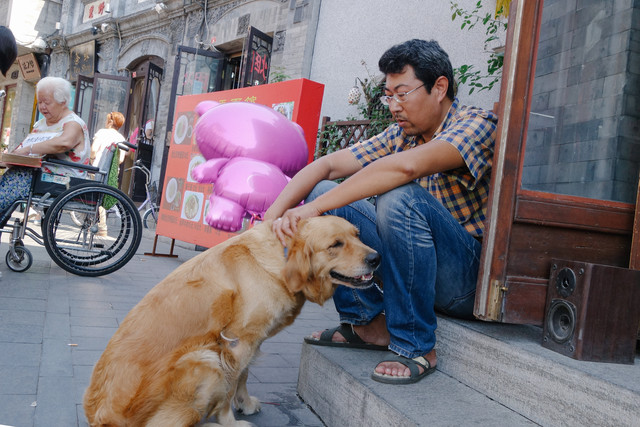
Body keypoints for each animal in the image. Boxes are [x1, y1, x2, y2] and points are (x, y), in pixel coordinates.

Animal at [82, 217, 378, 427]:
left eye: (357, 235)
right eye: (335, 245)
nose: (376, 258)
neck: (283, 260)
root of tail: (101, 419)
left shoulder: (248, 340)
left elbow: (243, 376)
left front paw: (244, 403)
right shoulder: (236, 343)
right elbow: (229, 386)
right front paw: (229, 421)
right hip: (204, 359)